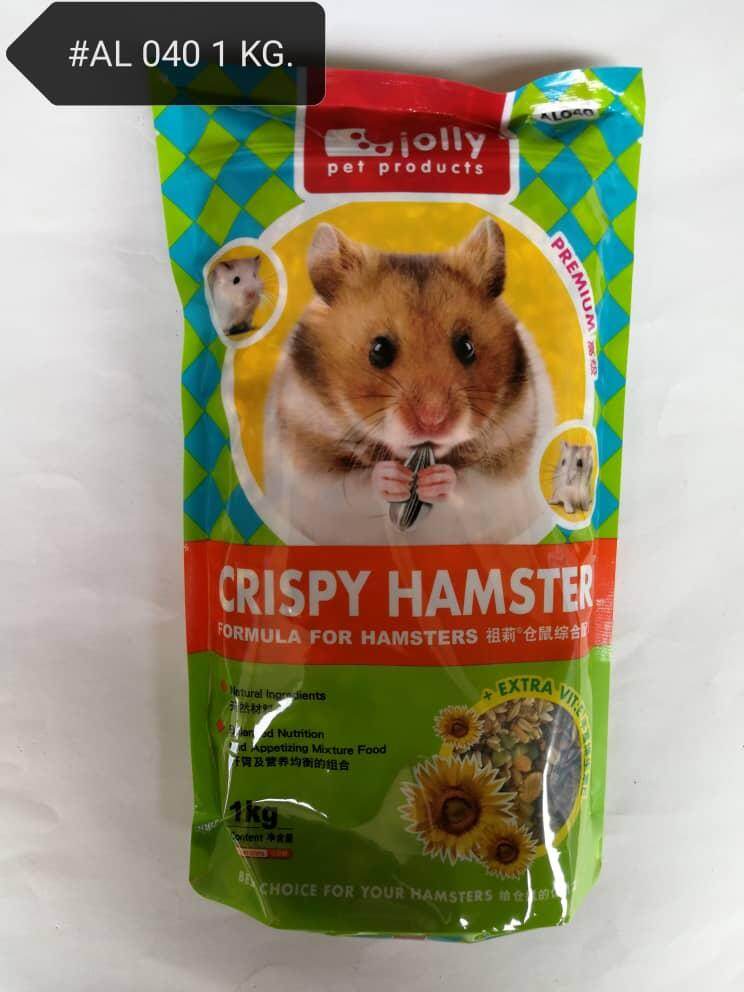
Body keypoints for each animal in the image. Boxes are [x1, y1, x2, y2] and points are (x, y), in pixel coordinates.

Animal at [263, 219, 555, 545]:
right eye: (379, 350)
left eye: (467, 347)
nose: (433, 421)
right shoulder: (309, 467)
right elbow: (356, 484)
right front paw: (392, 477)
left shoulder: (505, 470)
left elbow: (469, 485)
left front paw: (437, 479)